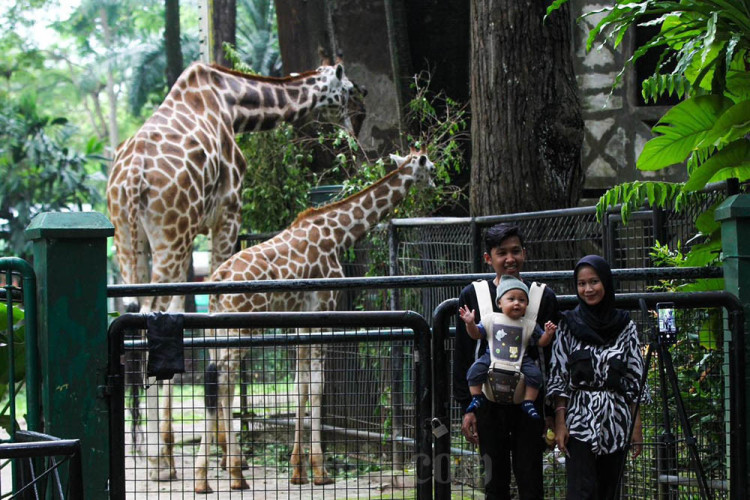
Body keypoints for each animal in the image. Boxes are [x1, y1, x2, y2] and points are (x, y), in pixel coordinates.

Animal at [106, 61, 356, 481]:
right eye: (351, 91)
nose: (355, 131)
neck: (234, 103)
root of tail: (130, 180)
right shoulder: (227, 214)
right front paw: (227, 456)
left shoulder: (193, 232)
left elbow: (185, 314)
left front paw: (194, 448)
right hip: (171, 232)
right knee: (151, 315)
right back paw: (159, 463)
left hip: (129, 238)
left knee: (137, 315)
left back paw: (150, 453)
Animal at [194, 148, 435, 493]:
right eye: (428, 166)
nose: (436, 181)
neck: (339, 234)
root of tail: (217, 280)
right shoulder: (325, 306)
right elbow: (317, 384)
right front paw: (320, 470)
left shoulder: (302, 317)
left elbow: (301, 384)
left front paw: (298, 470)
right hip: (243, 326)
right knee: (220, 379)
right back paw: (219, 475)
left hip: (220, 328)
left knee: (221, 383)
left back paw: (230, 471)